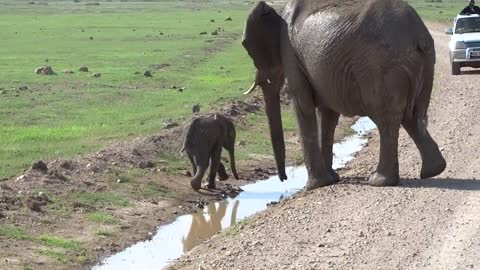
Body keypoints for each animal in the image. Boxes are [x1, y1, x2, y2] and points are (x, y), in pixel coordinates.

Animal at [242, 0, 448, 190]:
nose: (283, 179)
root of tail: (419, 35)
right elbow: (327, 115)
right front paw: (332, 179)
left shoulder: (289, 51)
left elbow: (303, 106)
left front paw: (316, 185)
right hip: (418, 66)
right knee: (411, 116)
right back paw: (433, 170)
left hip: (381, 68)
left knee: (387, 119)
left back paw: (379, 181)